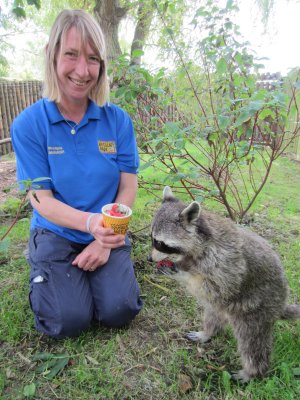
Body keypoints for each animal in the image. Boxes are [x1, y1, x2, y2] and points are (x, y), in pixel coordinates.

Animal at [150, 186, 300, 382]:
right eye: (152, 238)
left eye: (160, 243)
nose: (149, 258)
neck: (200, 239)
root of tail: (281, 302)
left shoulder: (225, 262)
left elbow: (216, 285)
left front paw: (181, 273)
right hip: (225, 305)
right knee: (213, 314)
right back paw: (208, 332)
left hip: (258, 308)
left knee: (252, 341)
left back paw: (253, 371)